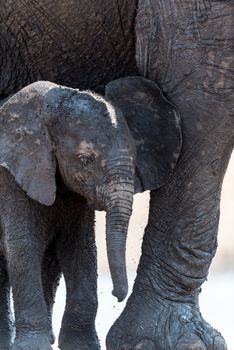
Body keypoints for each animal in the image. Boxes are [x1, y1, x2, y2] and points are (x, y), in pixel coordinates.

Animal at [0, 77, 181, 350]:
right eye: (85, 159)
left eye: (135, 155)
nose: (116, 295)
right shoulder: (10, 178)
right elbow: (23, 245)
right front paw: (32, 347)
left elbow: (80, 248)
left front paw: (81, 345)